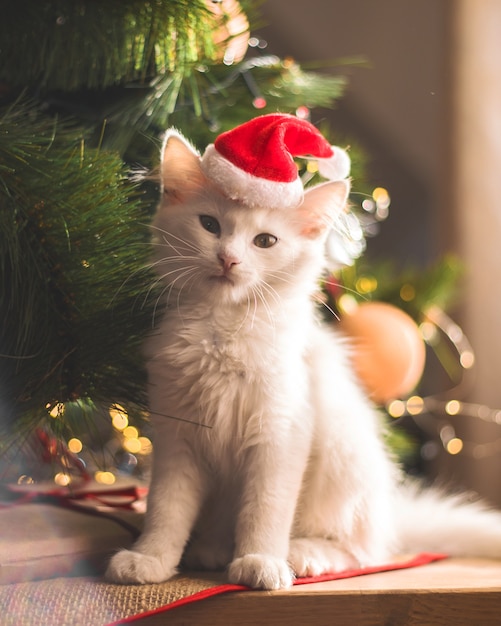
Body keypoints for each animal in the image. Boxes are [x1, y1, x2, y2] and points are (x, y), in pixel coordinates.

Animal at [106, 129, 501, 588]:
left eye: (265, 241)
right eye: (210, 225)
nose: (228, 259)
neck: (223, 331)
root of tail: (389, 518)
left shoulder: (281, 432)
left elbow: (265, 509)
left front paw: (260, 561)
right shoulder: (177, 434)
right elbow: (165, 509)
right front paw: (150, 559)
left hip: (342, 455)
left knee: (361, 552)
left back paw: (303, 555)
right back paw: (212, 549)